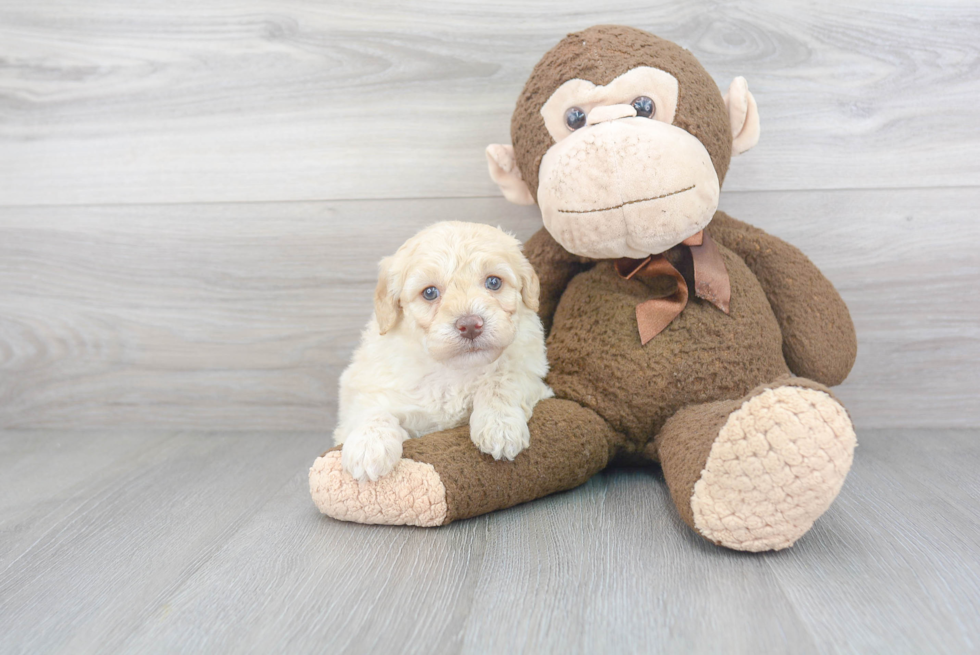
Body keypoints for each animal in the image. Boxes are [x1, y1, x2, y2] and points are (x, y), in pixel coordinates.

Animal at [334, 220, 552, 482]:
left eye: (494, 282)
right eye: (429, 293)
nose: (470, 325)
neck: (453, 370)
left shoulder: (531, 374)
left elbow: (501, 380)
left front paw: (499, 426)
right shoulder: (371, 387)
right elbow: (371, 410)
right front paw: (368, 447)